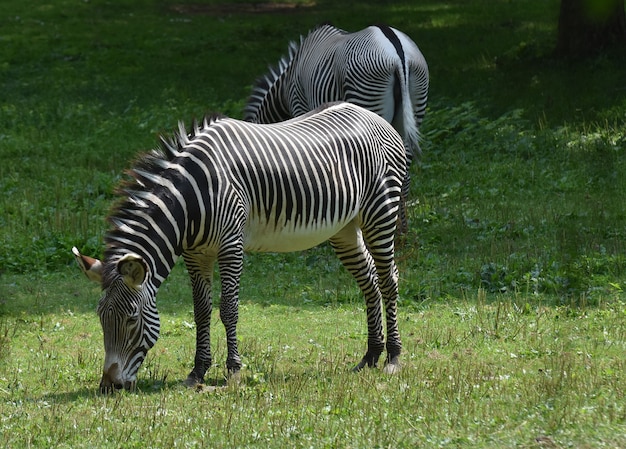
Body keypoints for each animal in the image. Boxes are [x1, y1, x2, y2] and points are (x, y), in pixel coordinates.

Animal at [72, 102, 404, 392]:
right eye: (101, 318)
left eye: (131, 319)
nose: (109, 387)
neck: (189, 202)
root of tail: (371, 115)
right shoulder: (196, 254)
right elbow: (201, 311)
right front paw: (198, 371)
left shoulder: (231, 245)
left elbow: (229, 309)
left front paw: (233, 371)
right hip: (344, 228)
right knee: (369, 281)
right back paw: (371, 356)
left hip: (381, 211)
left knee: (388, 280)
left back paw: (393, 358)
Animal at [244, 24, 428, 233]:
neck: (286, 84)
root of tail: (398, 54)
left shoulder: (302, 107)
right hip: (414, 107)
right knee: (403, 176)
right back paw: (401, 231)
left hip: (369, 103)